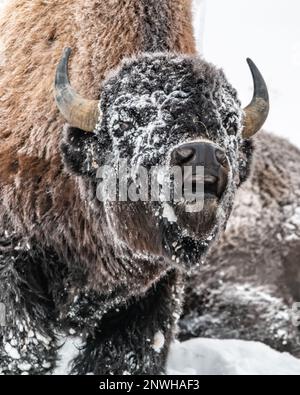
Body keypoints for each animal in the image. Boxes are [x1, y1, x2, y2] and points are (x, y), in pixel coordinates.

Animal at [0, 0, 270, 376]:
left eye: (230, 122)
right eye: (127, 121)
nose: (203, 156)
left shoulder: (156, 290)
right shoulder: (14, 255)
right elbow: (24, 348)